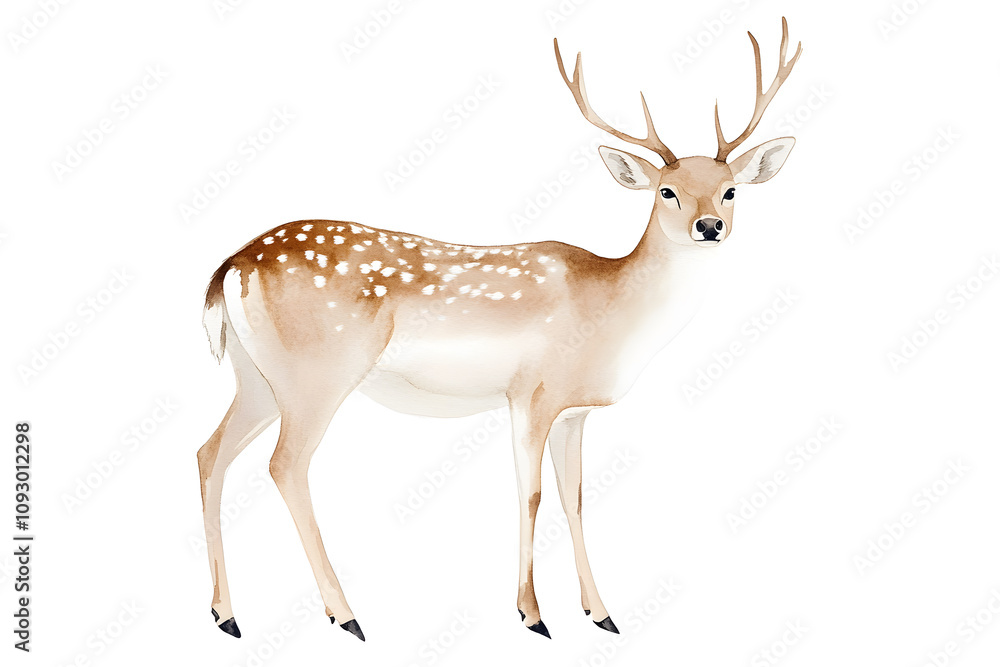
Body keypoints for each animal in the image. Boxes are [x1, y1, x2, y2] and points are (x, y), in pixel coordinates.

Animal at [197, 18, 801, 642]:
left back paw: (227, 615)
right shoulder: (530, 392)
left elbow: (574, 496)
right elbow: (530, 493)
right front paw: (532, 615)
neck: (608, 306)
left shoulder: (573, 411)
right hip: (318, 372)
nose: (710, 225)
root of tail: (230, 267)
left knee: (209, 453)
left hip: (258, 377)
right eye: (667, 191)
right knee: (285, 464)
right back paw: (346, 615)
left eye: (731, 189)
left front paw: (601, 613)